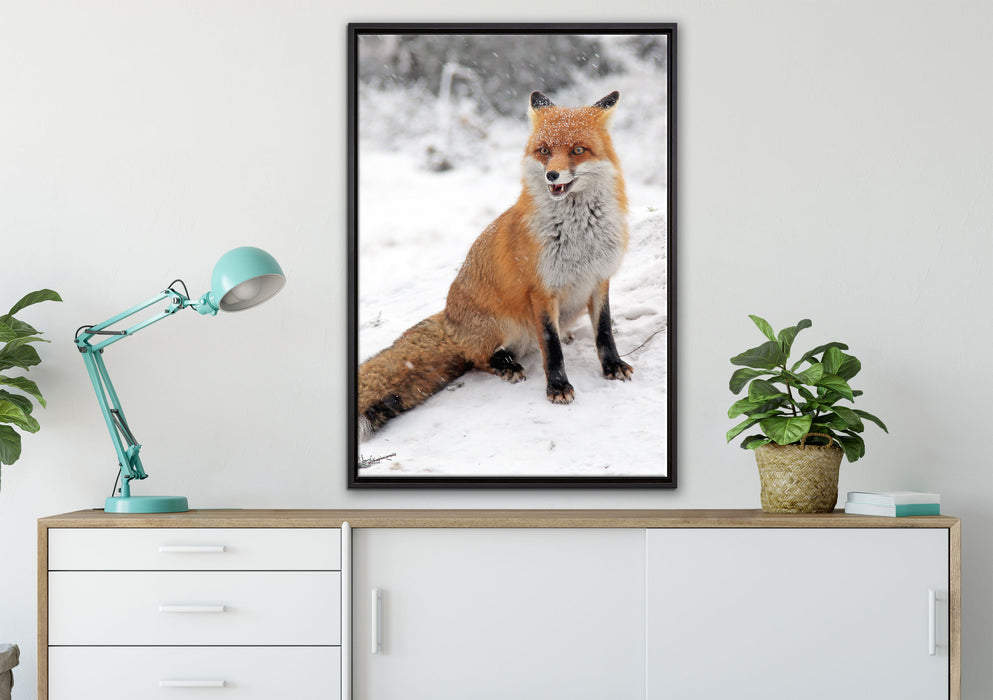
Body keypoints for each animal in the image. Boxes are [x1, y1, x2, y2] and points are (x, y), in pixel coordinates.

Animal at [359, 90, 632, 441]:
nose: (552, 175)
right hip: (501, 326)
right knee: (478, 358)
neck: (579, 235)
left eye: (578, 150)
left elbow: (604, 332)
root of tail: (449, 319)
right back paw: (506, 365)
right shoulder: (541, 291)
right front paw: (558, 387)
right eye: (545, 151)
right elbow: (551, 347)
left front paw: (613, 366)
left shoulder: (599, 278)